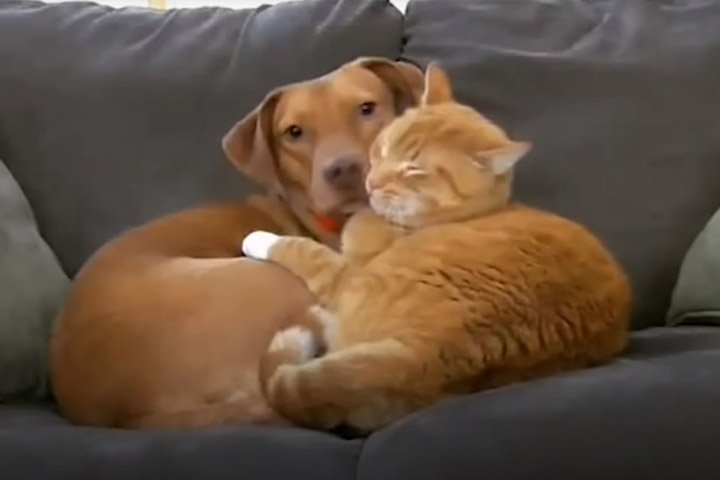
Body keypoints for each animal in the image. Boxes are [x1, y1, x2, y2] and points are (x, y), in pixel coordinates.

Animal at [241, 63, 632, 433]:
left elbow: (300, 249)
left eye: (415, 170)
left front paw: (258, 239)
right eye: (384, 146)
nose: (371, 180)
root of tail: (433, 352)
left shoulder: (345, 273)